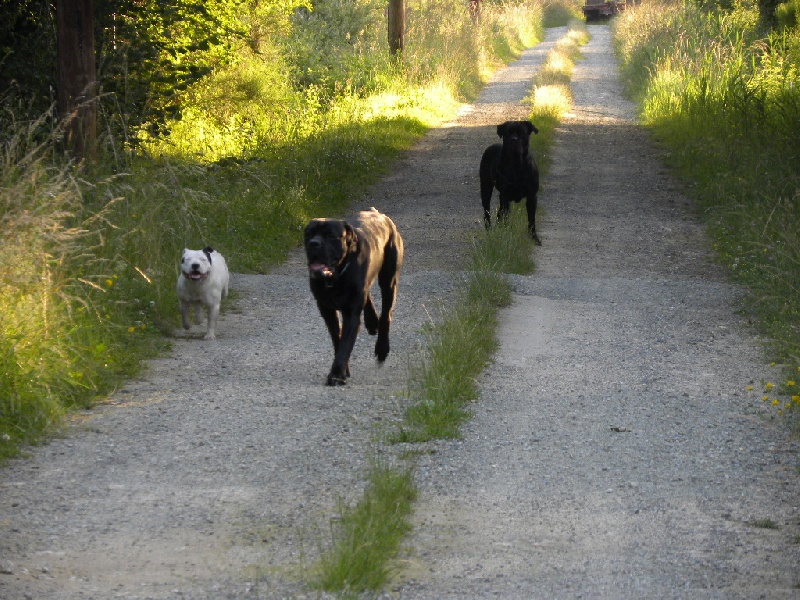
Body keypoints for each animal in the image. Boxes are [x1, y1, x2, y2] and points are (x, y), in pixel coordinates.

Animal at [304, 207, 404, 384]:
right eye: (308, 234)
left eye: (330, 235)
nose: (313, 243)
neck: (336, 276)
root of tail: (381, 215)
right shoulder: (326, 310)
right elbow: (337, 338)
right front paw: (343, 370)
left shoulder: (350, 314)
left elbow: (345, 343)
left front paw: (336, 374)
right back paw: (372, 322)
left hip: (389, 279)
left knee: (386, 314)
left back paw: (382, 348)